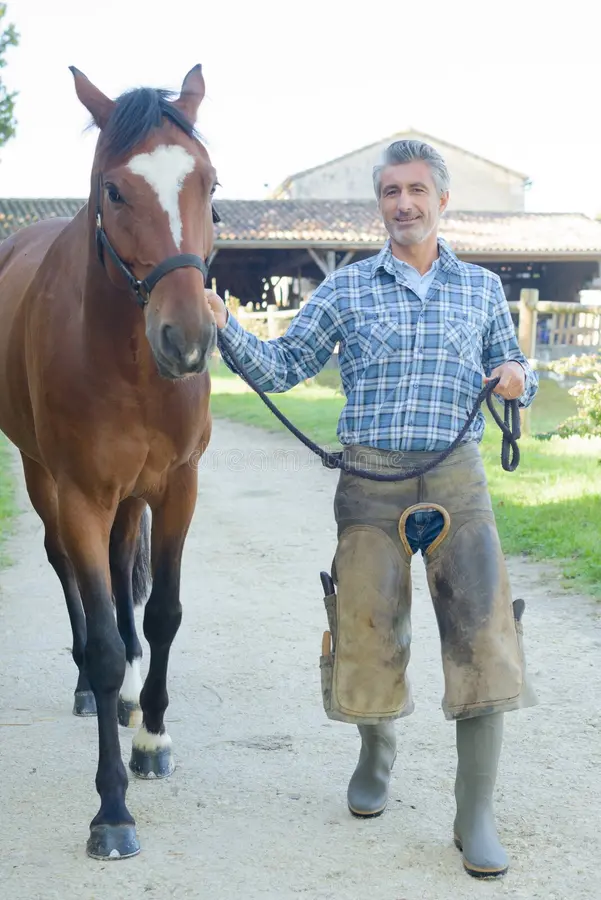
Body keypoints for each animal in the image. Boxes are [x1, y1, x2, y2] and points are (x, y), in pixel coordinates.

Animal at [0, 65, 218, 859]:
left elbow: (163, 614)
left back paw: (127, 698)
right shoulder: (81, 494)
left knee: (127, 569)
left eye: (208, 184)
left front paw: (152, 737)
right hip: (44, 480)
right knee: (68, 568)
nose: (187, 338)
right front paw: (112, 808)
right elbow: (97, 641)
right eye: (115, 191)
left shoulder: (178, 486)